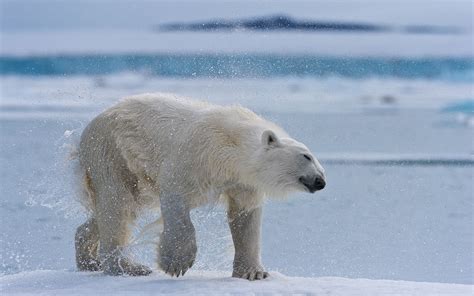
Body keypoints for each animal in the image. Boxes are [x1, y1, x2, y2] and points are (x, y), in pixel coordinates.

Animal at [75, 93, 326, 280]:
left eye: (313, 156)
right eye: (306, 156)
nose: (321, 181)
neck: (231, 144)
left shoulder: (242, 180)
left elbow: (245, 218)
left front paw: (253, 272)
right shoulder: (195, 155)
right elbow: (176, 196)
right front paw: (176, 262)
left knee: (123, 209)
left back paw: (89, 259)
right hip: (112, 151)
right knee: (116, 203)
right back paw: (128, 267)